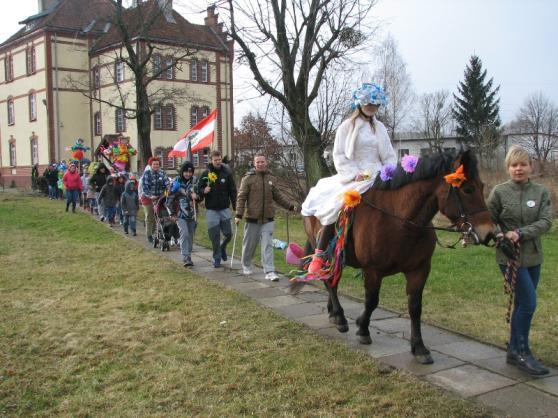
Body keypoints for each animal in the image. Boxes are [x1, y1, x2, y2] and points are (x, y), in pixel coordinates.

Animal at [300, 149, 496, 362]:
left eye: (481, 186)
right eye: (467, 189)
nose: (489, 234)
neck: (400, 222)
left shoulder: (419, 270)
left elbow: (415, 307)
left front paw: (419, 347)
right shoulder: (373, 271)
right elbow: (372, 301)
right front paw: (362, 329)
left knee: (331, 281)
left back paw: (333, 313)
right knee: (330, 282)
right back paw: (340, 317)